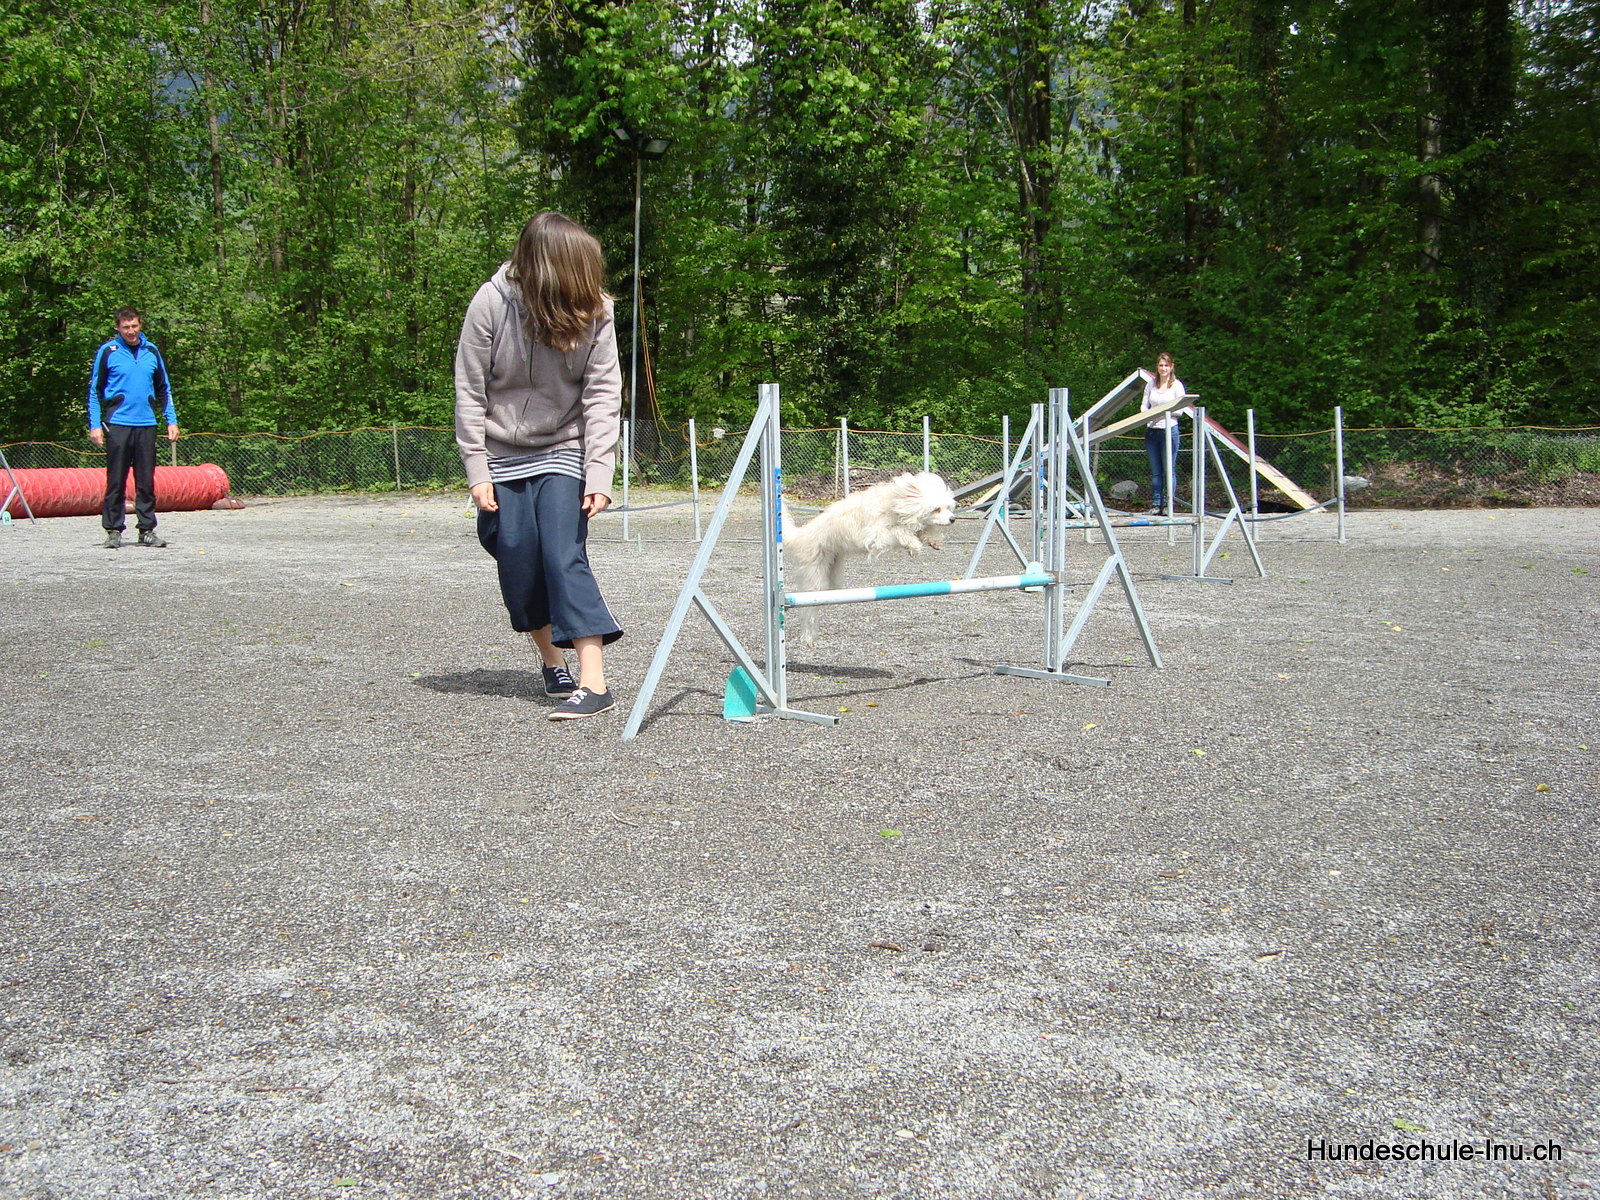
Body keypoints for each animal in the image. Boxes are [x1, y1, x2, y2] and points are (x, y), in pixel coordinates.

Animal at [783, 471, 959, 647]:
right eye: (937, 509)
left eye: (948, 507)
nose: (953, 519)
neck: (895, 504)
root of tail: (799, 535)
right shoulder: (875, 536)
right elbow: (899, 531)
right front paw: (913, 544)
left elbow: (920, 529)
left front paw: (933, 539)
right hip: (813, 579)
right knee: (807, 611)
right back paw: (808, 636)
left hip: (832, 576)